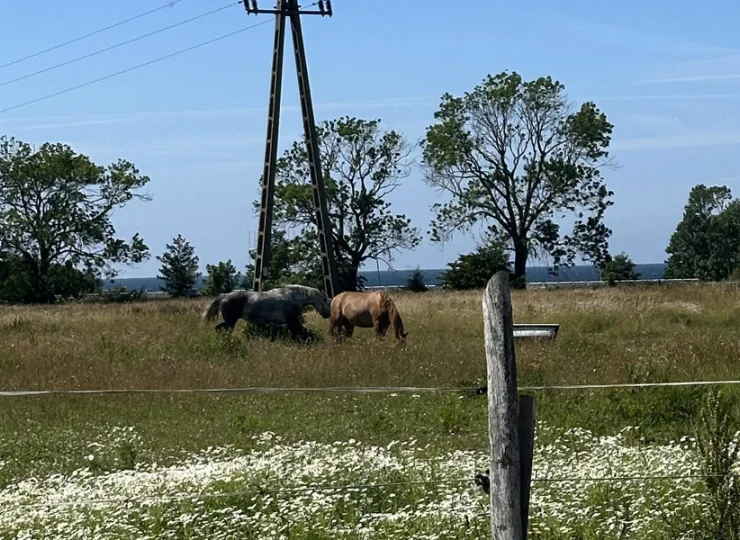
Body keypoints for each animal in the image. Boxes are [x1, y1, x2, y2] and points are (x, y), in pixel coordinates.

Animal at [201, 284, 330, 340]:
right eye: (325, 300)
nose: (328, 314)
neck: (292, 298)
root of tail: (225, 296)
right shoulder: (293, 322)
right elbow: (303, 332)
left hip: (229, 322)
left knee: (219, 328)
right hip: (230, 322)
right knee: (220, 328)